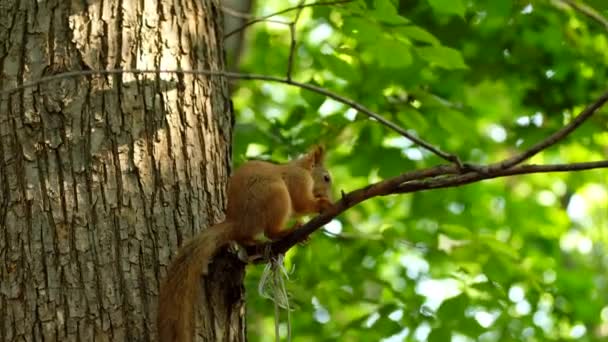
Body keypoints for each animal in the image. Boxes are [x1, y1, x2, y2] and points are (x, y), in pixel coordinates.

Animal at [154, 145, 330, 342]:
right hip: (276, 195)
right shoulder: (298, 180)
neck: (301, 168)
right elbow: (301, 203)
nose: (328, 194)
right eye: (326, 178)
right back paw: (287, 231)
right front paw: (323, 204)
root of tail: (236, 223)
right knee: (270, 231)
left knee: (246, 238)